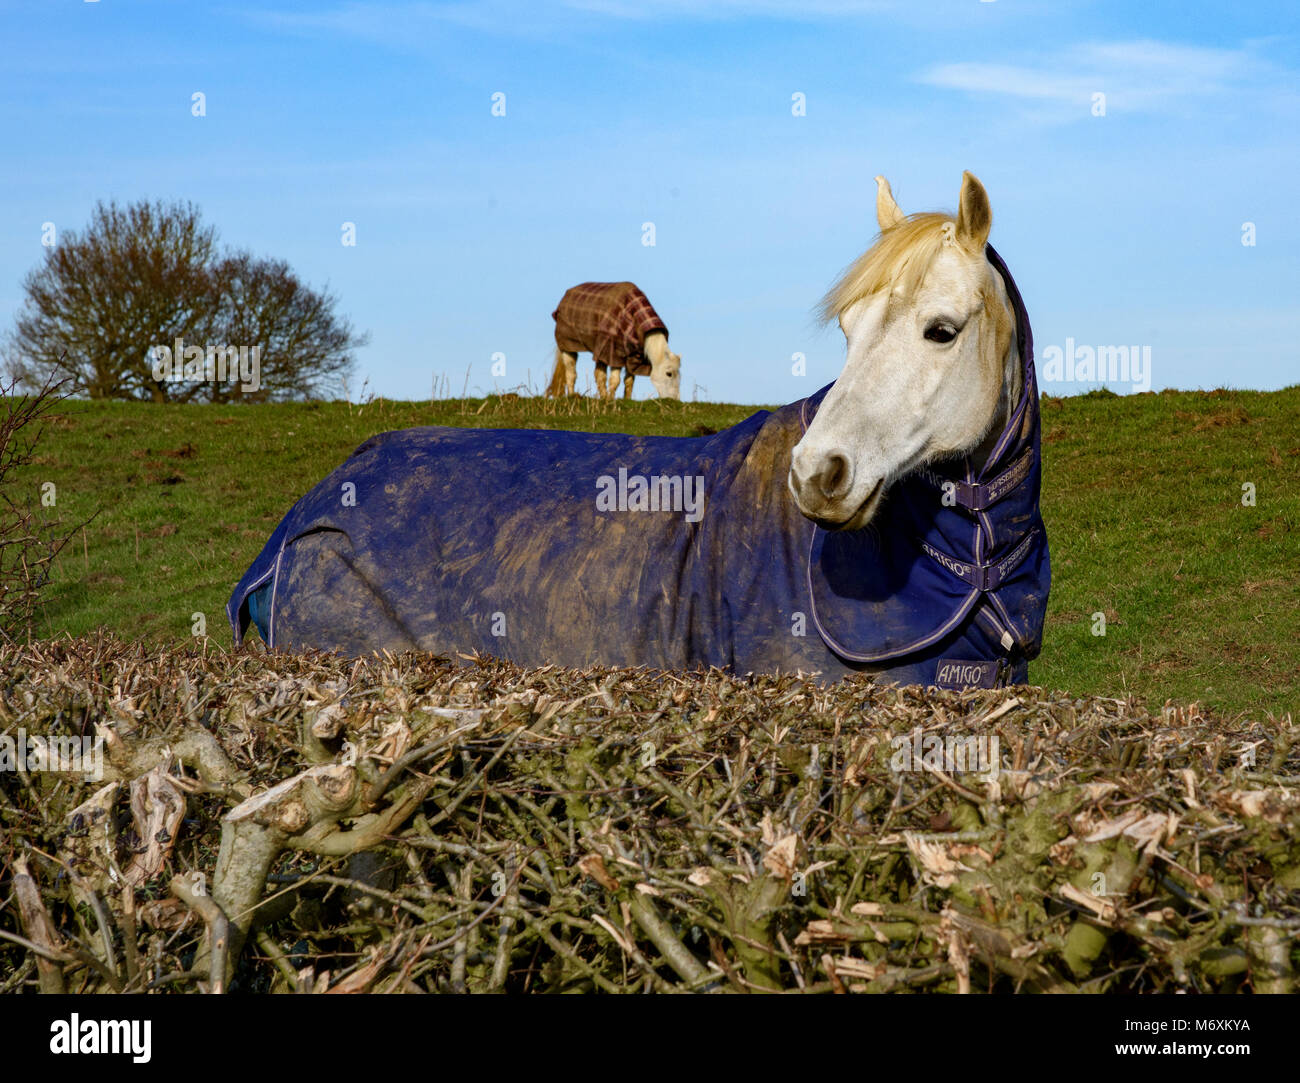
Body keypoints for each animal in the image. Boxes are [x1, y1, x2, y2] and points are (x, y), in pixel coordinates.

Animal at [543, 283, 681, 400]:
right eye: (669, 373)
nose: (674, 400)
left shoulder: (633, 356)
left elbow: (629, 381)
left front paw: (625, 400)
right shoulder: (614, 353)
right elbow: (615, 381)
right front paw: (610, 400)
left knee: (599, 375)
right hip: (569, 346)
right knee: (571, 372)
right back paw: (573, 395)